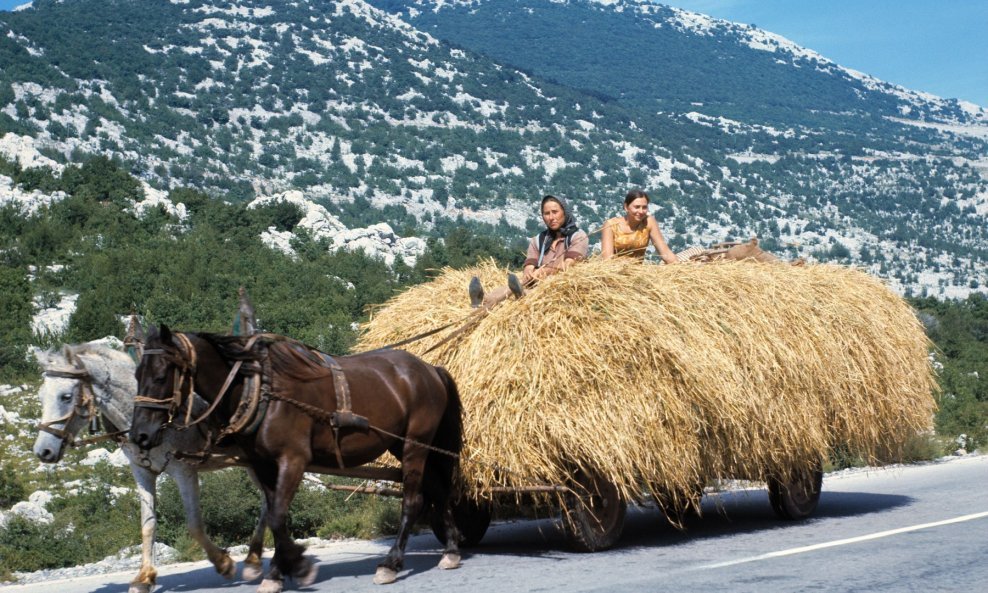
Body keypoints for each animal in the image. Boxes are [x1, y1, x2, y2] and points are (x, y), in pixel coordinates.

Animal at [32, 342, 268, 592]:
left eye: (66, 396)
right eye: (40, 396)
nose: (43, 451)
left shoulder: (184, 471)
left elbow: (194, 524)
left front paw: (223, 563)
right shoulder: (142, 472)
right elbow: (148, 525)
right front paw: (144, 577)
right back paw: (255, 559)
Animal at [129, 326, 466, 588]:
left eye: (161, 375)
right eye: (136, 374)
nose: (139, 435)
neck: (260, 388)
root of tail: (430, 369)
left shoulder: (293, 460)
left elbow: (278, 515)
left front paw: (298, 566)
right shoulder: (264, 465)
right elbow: (276, 515)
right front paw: (277, 572)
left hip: (415, 445)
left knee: (413, 500)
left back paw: (391, 563)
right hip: (407, 445)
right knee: (439, 491)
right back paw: (451, 550)